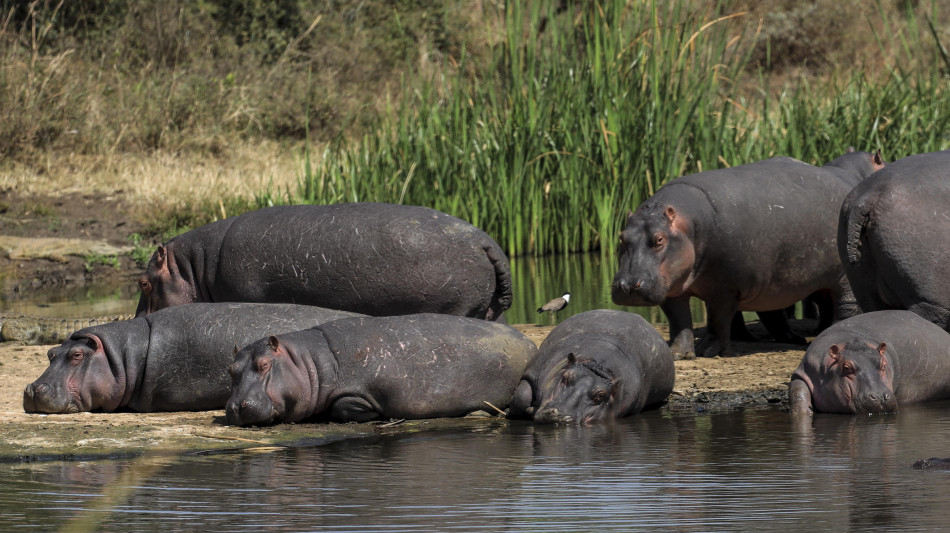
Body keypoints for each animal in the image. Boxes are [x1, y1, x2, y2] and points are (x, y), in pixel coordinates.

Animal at [225, 314, 538, 425]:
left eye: (265, 364)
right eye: (231, 369)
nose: (235, 407)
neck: (307, 362)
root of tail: (531, 342)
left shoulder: (358, 393)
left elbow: (342, 408)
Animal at [507, 309, 674, 425]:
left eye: (601, 395)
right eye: (565, 377)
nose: (559, 415)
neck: (598, 366)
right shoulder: (535, 372)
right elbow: (522, 396)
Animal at [611, 149, 885, 359]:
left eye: (659, 240)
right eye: (621, 237)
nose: (627, 286)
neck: (688, 226)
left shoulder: (723, 290)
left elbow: (717, 320)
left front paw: (708, 351)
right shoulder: (671, 287)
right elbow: (679, 321)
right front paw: (678, 353)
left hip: (841, 276)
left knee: (845, 304)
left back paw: (830, 333)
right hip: (777, 283)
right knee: (776, 314)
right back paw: (793, 338)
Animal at [789, 310, 950, 415]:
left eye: (884, 364)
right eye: (846, 368)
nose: (879, 397)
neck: (853, 343)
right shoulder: (805, 370)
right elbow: (798, 392)